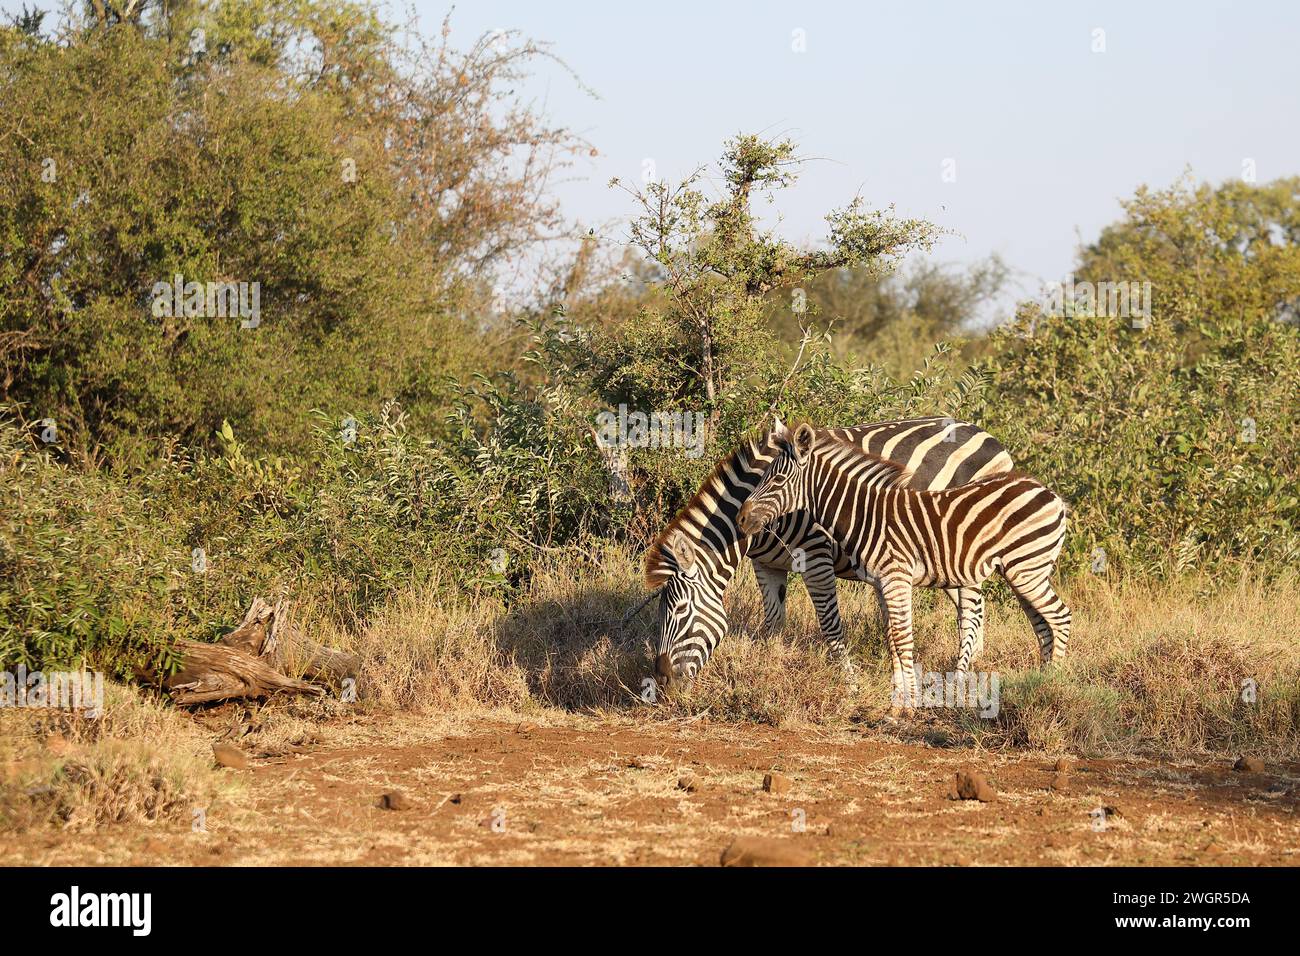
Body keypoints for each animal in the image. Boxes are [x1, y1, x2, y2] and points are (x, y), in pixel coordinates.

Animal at [646, 416, 1014, 685]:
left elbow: (830, 623)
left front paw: (850, 681)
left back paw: (960, 674)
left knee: (972, 607)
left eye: (681, 612)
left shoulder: (815, 555)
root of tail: (990, 438)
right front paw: (768, 669)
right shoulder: (766, 564)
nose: (661, 681)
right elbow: (773, 621)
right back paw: (974, 661)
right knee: (971, 606)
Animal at [736, 421, 1070, 705]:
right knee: (1041, 623)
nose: (741, 518)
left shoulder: (895, 577)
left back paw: (1050, 685)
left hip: (1026, 569)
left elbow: (901, 636)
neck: (865, 513)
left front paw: (906, 701)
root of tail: (1050, 493)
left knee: (1059, 616)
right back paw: (1038, 677)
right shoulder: (882, 583)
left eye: (777, 479)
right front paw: (899, 693)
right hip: (1023, 570)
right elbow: (892, 638)